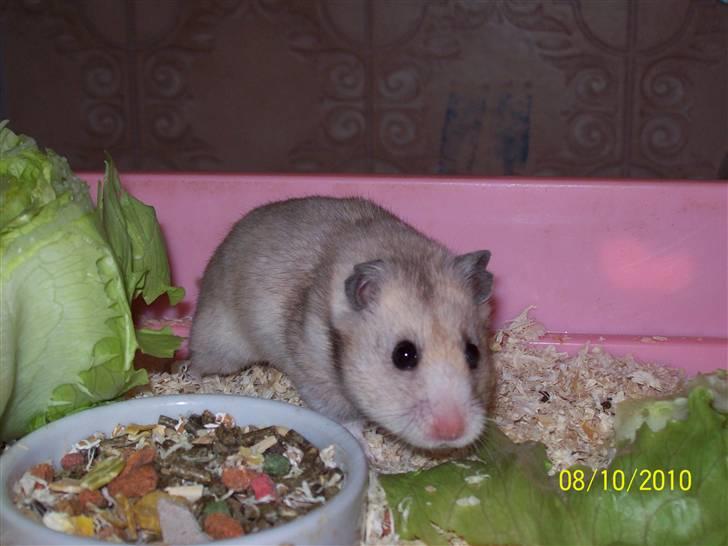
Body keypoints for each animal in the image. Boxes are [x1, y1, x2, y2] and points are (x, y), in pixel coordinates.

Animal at [188, 196, 494, 450]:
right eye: (404, 355)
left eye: (473, 353)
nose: (452, 433)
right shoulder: (317, 379)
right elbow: (346, 421)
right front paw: (367, 453)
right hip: (221, 345)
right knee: (197, 359)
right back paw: (192, 380)